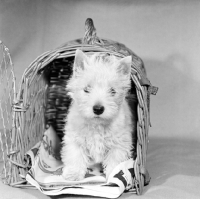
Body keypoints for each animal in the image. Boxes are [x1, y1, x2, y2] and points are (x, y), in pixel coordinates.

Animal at [61, 49, 135, 180]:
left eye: (112, 91)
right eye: (87, 89)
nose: (98, 109)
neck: (97, 124)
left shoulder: (120, 143)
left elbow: (115, 160)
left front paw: (115, 175)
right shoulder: (74, 139)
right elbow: (75, 156)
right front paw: (73, 175)